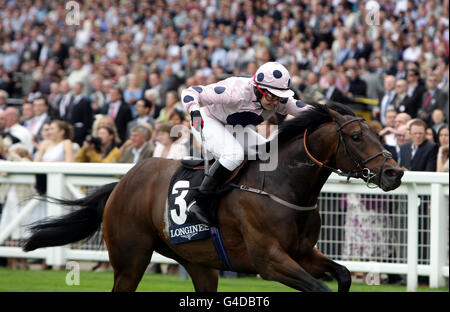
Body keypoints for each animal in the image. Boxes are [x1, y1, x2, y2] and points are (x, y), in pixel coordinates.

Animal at [22, 102, 404, 292]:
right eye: (356, 136)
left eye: (377, 132)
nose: (394, 172)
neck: (281, 185)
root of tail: (122, 182)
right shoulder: (270, 261)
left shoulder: (301, 253)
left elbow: (344, 275)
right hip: (130, 260)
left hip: (198, 263)